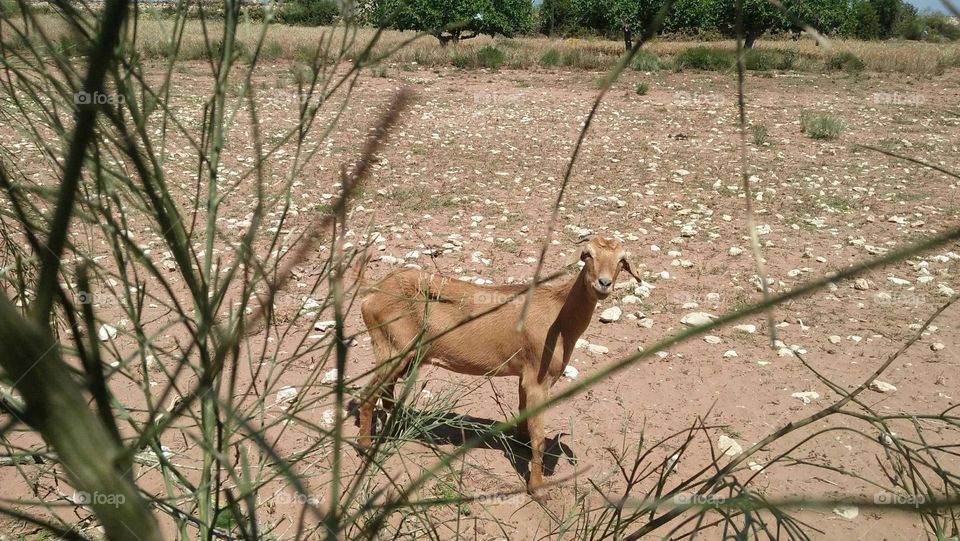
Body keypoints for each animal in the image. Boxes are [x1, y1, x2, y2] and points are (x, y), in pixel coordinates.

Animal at [356, 236, 640, 498]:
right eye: (587, 254)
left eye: (622, 261)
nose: (603, 283)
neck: (558, 316)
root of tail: (371, 293)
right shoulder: (538, 379)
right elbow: (539, 438)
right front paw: (537, 489)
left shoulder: (525, 375)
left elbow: (525, 415)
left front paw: (521, 443)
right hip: (393, 349)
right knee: (368, 394)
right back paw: (365, 447)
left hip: (405, 355)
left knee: (386, 390)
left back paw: (398, 427)